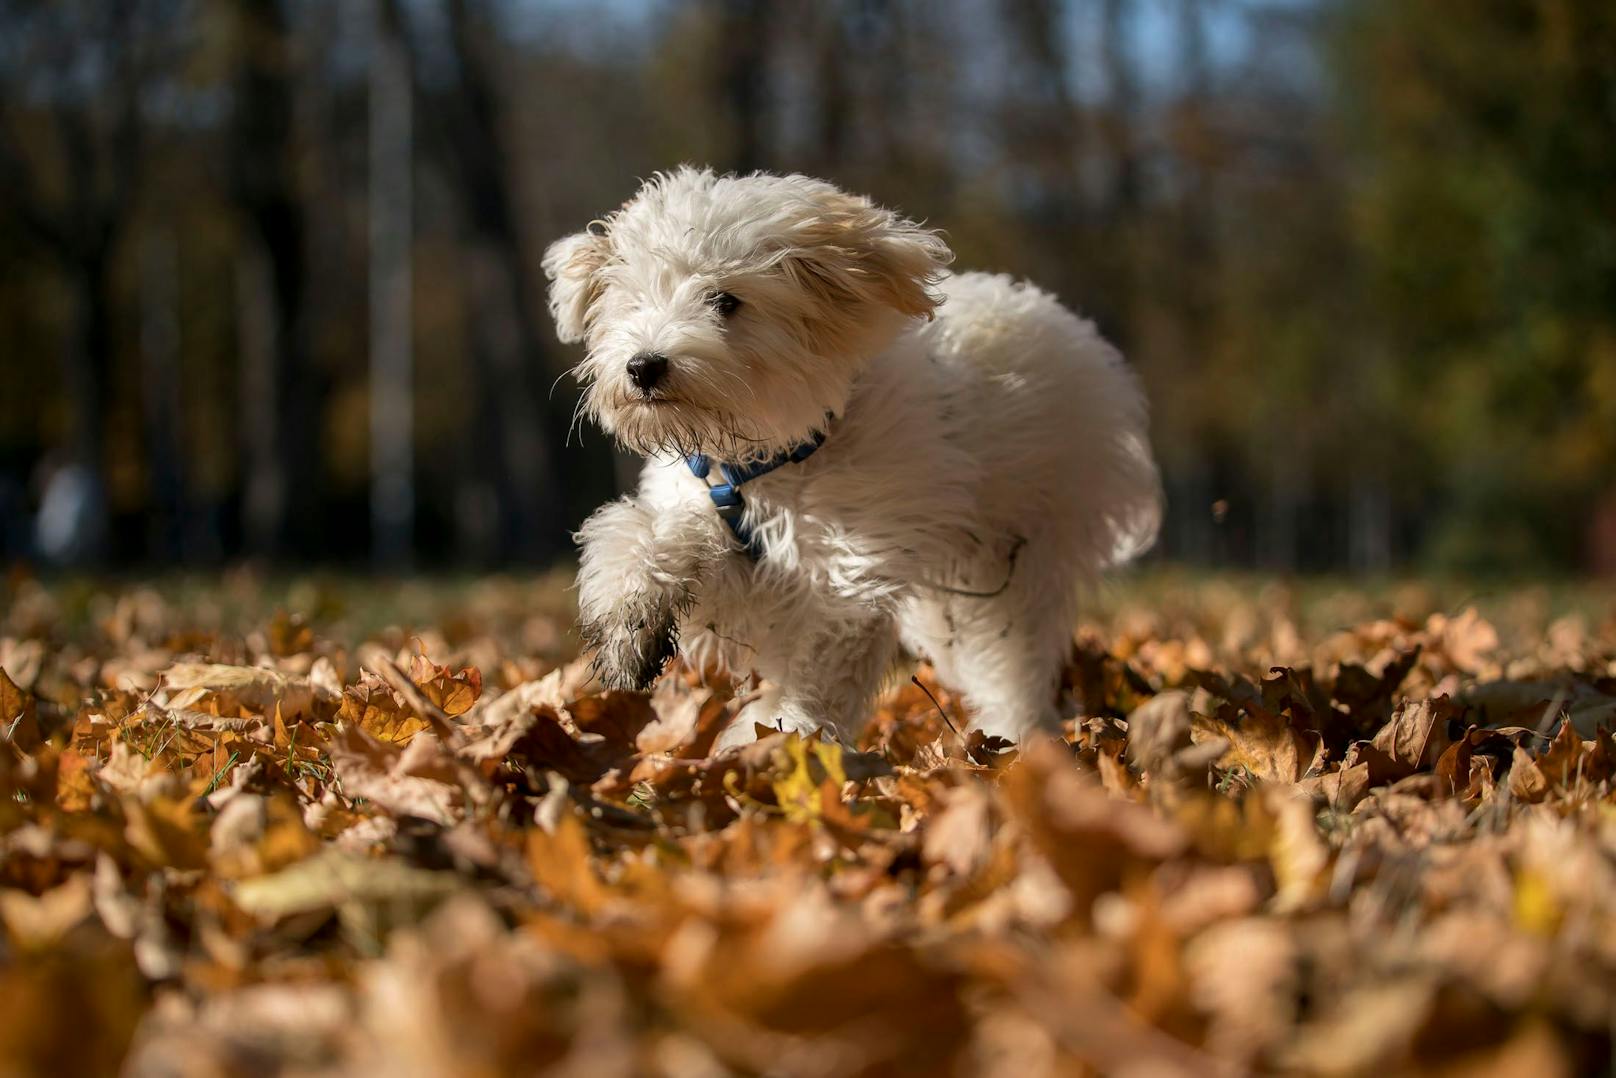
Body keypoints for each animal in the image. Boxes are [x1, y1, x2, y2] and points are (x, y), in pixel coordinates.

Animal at [546, 168, 1163, 749]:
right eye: (633, 299)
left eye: (726, 301)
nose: (644, 366)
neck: (774, 460)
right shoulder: (731, 541)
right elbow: (656, 533)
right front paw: (630, 617)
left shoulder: (849, 574)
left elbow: (819, 668)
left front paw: (779, 736)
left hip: (1015, 563)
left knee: (1013, 662)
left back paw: (1018, 735)